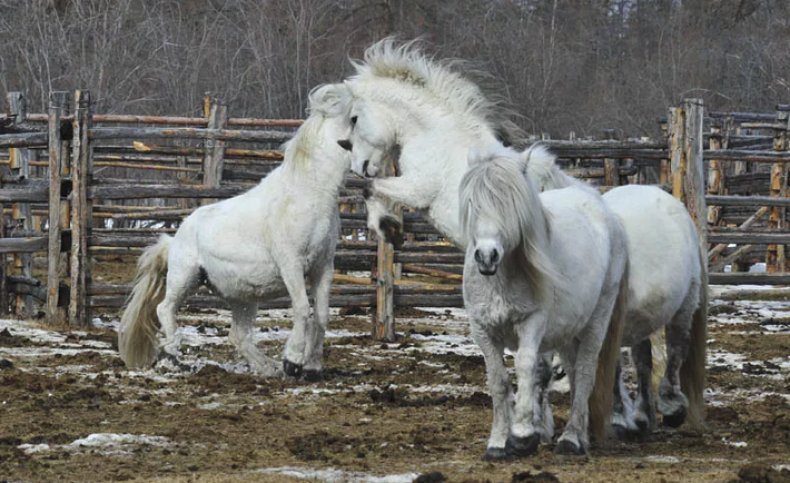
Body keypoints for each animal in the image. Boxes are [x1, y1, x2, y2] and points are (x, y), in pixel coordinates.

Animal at [117, 83, 352, 380]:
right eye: (355, 118)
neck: (307, 194)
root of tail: (175, 237)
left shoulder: (323, 266)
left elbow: (321, 314)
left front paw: (310, 366)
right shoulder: (291, 264)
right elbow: (302, 309)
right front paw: (293, 361)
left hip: (243, 297)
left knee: (238, 336)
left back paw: (268, 368)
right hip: (185, 278)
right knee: (164, 309)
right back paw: (173, 353)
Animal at [460, 149, 628, 460]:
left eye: (511, 205)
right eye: (472, 204)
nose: (486, 256)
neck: (500, 278)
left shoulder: (532, 323)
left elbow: (526, 367)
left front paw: (522, 435)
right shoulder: (483, 330)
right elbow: (498, 380)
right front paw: (497, 442)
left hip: (596, 321)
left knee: (584, 372)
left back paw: (571, 440)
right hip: (568, 331)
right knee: (572, 372)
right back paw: (579, 434)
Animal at [524, 145, 708, 434]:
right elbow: (544, 369)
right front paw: (540, 427)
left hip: (684, 304)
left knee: (676, 349)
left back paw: (671, 407)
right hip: (641, 317)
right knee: (643, 360)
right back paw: (644, 416)